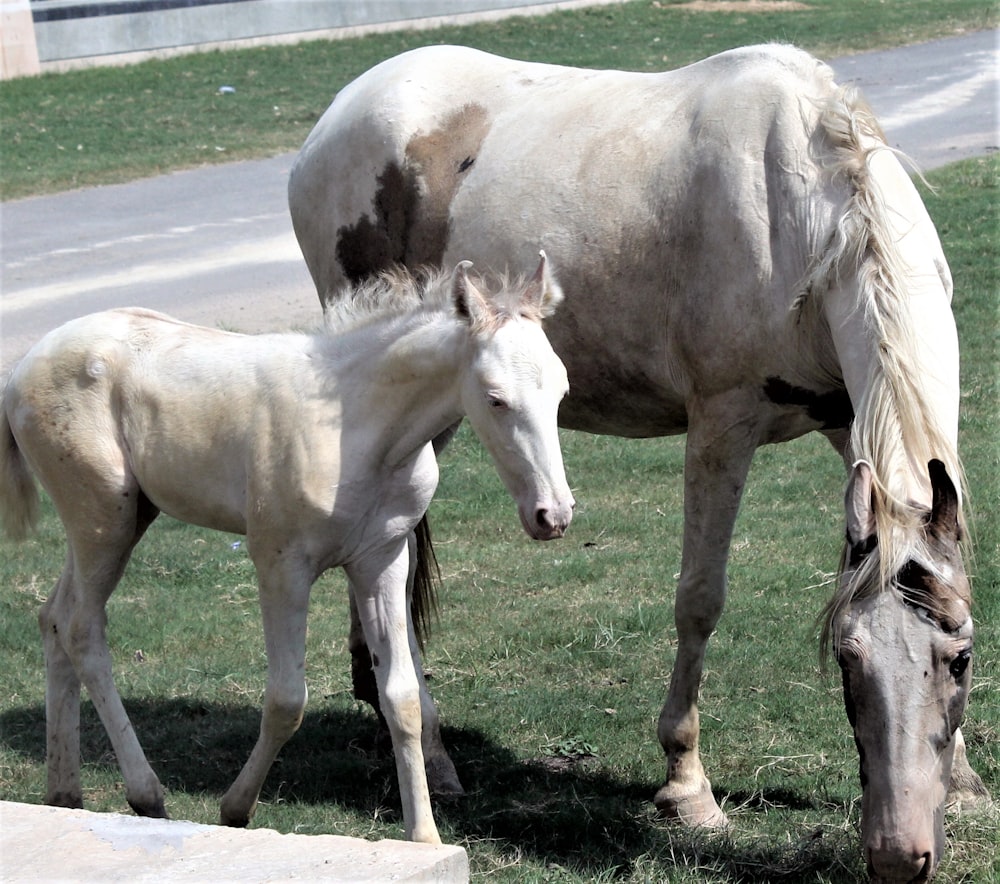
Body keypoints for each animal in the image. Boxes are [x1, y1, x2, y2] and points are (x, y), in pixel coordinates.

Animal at [0, 254, 576, 844]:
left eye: (562, 392)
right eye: (495, 399)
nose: (552, 515)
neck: (359, 427)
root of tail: (22, 368)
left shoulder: (383, 559)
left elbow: (402, 698)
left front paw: (425, 838)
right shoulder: (281, 564)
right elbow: (285, 700)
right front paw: (235, 808)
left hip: (128, 515)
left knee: (53, 617)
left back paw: (64, 793)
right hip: (102, 517)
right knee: (81, 628)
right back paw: (145, 793)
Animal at [288, 46, 984, 876]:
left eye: (959, 659)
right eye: (847, 661)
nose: (898, 855)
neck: (810, 220)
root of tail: (334, 118)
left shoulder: (850, 424)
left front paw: (966, 780)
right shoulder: (722, 423)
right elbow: (700, 600)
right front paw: (687, 789)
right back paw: (433, 756)